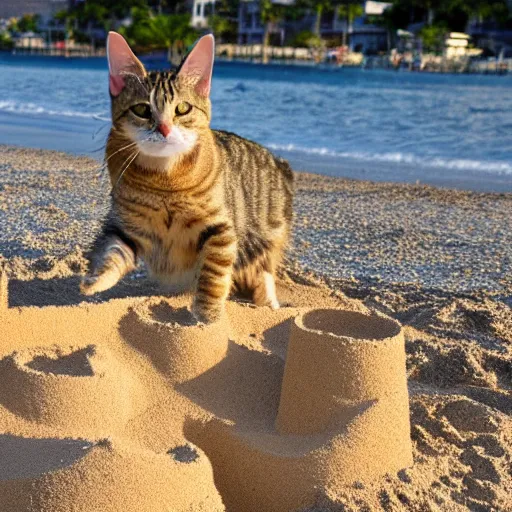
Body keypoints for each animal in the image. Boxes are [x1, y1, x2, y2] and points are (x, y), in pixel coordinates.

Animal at [82, 32, 294, 322]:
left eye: (182, 108)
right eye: (142, 110)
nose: (164, 128)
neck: (165, 182)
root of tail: (278, 161)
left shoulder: (221, 230)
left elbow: (213, 278)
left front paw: (207, 317)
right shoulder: (127, 226)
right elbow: (111, 253)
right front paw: (95, 280)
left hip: (264, 237)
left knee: (264, 270)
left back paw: (269, 302)